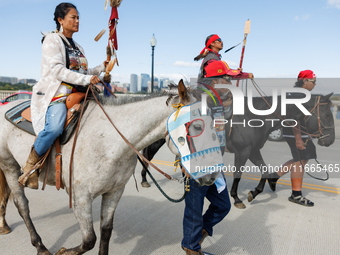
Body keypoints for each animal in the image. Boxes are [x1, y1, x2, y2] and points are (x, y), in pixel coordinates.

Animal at [0, 80, 197, 255]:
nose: (204, 175)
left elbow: (106, 231)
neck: (110, 141)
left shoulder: (114, 192)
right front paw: (63, 251)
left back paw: (4, 225)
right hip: (9, 165)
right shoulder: (80, 197)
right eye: (197, 126)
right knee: (21, 204)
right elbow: (89, 239)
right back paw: (40, 247)